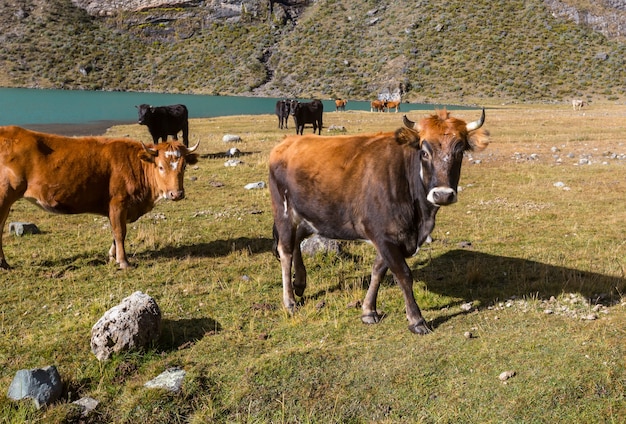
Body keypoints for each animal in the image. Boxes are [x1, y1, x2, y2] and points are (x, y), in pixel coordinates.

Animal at [0, 126, 197, 270]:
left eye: (184, 166)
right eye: (161, 166)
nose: (176, 194)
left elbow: (115, 233)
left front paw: (112, 256)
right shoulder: (118, 203)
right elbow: (120, 232)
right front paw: (123, 261)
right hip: (5, 196)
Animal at [268, 107, 488, 332]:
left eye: (459, 152)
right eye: (425, 152)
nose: (442, 195)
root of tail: (287, 142)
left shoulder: (391, 236)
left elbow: (378, 271)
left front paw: (368, 311)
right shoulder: (384, 234)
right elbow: (403, 274)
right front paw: (416, 319)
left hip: (311, 216)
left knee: (296, 240)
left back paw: (300, 283)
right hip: (283, 212)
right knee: (285, 251)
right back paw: (290, 301)